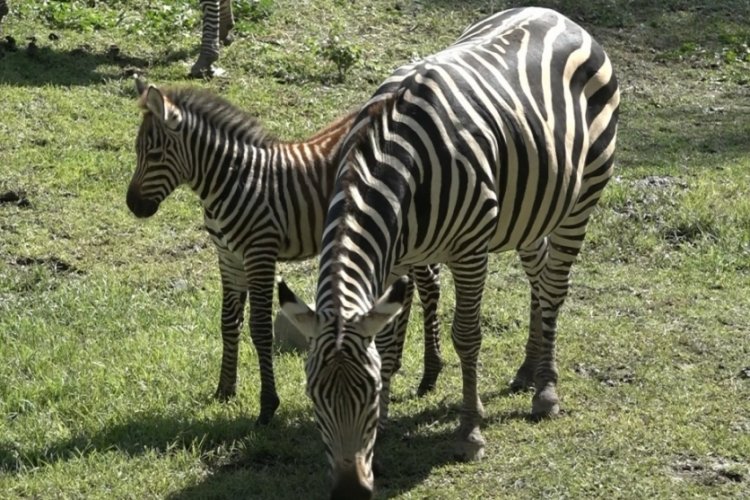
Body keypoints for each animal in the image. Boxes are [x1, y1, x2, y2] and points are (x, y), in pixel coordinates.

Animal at [125, 78, 444, 424]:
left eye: (154, 153)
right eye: (137, 151)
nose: (133, 205)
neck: (232, 178)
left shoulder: (260, 253)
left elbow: (260, 328)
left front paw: (267, 406)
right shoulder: (228, 257)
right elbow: (228, 322)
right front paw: (225, 389)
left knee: (429, 286)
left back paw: (429, 376)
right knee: (411, 285)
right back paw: (397, 362)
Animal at [278, 7, 620, 498]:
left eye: (366, 393)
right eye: (313, 394)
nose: (349, 491)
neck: (395, 165)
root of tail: (558, 15)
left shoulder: (470, 249)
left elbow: (467, 336)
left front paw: (469, 432)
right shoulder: (394, 260)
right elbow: (388, 342)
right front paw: (384, 433)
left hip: (583, 197)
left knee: (555, 288)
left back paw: (546, 391)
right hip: (532, 208)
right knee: (538, 276)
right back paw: (527, 369)